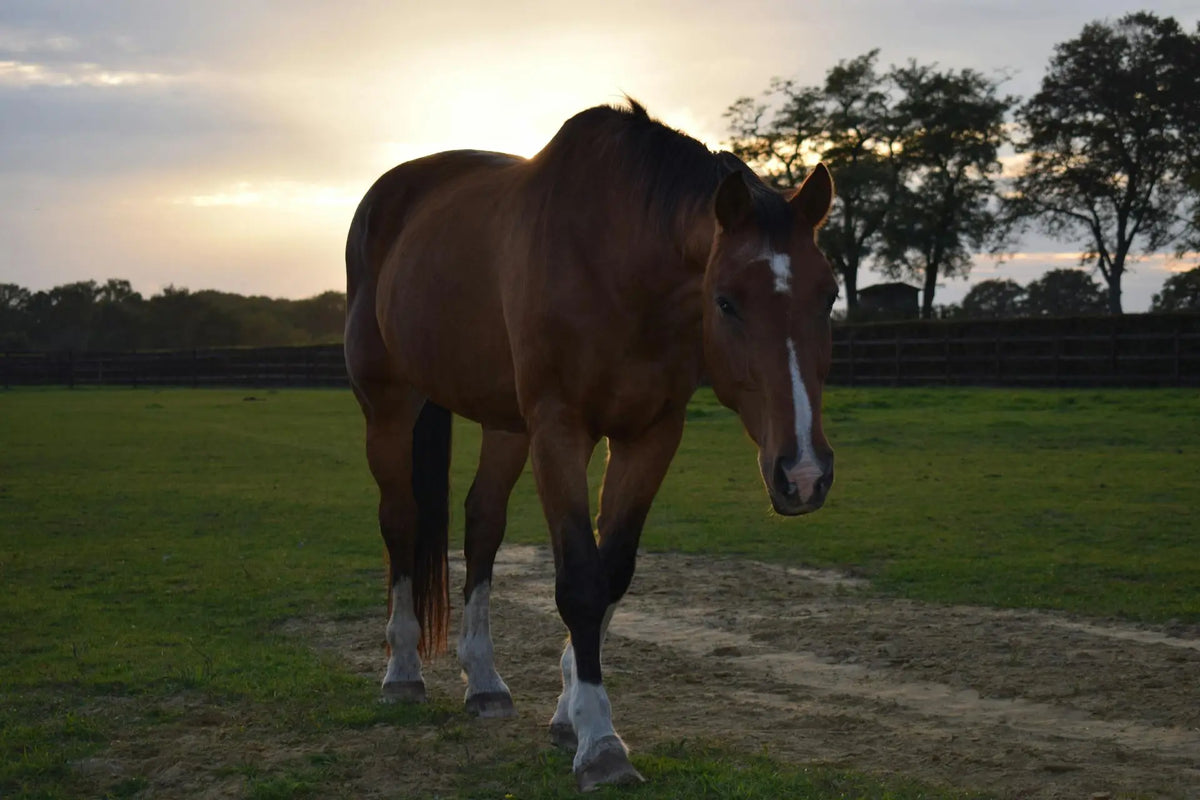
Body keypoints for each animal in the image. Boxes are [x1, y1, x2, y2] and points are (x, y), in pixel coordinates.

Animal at [344, 99, 837, 791]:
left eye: (830, 295)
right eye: (725, 302)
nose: (805, 474)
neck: (617, 263)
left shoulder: (651, 434)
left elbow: (613, 574)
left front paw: (567, 714)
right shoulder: (560, 429)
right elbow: (580, 579)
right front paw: (601, 743)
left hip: (505, 424)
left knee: (482, 524)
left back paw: (485, 682)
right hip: (388, 405)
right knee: (401, 523)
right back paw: (402, 673)